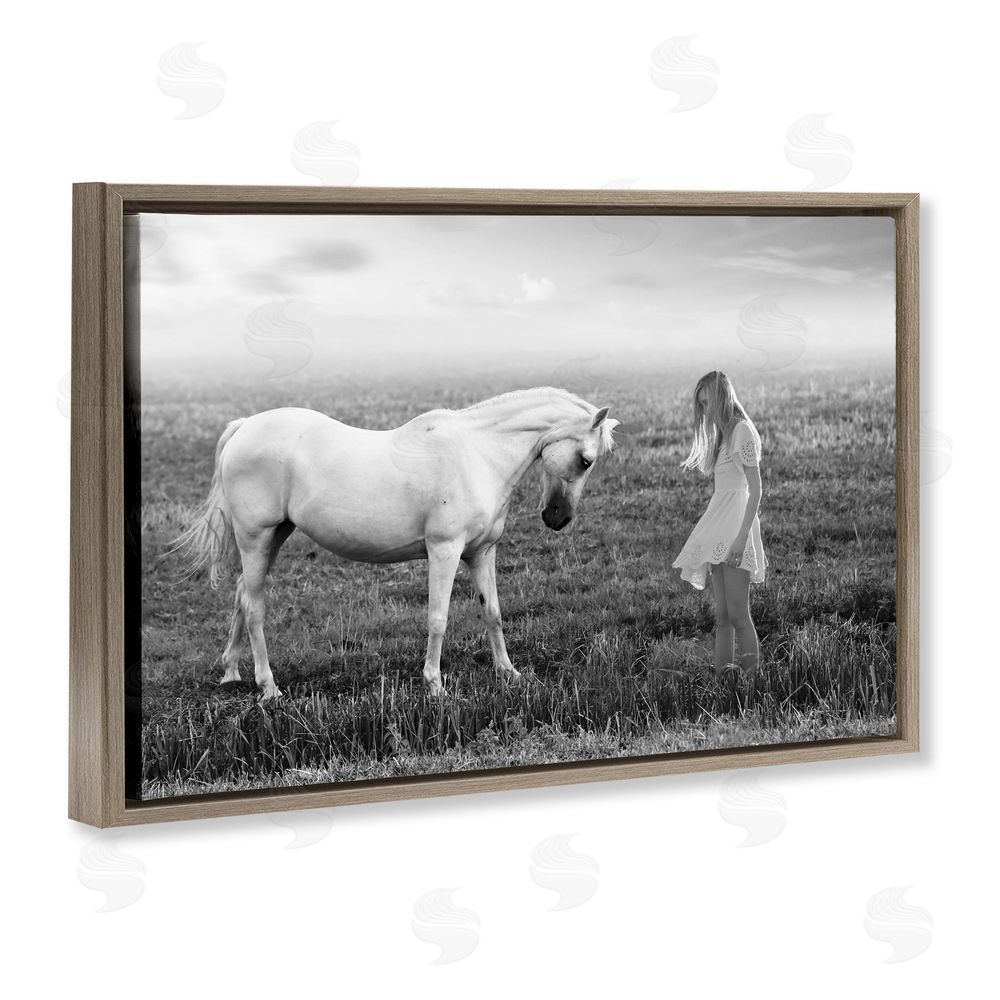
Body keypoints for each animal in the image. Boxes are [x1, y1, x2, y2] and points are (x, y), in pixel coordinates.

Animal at [173, 387, 620, 701]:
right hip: (256, 537)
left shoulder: (481, 553)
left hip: (274, 536)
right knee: (254, 608)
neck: (477, 455)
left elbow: (492, 612)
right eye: (585, 460)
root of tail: (244, 427)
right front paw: (435, 684)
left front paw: (509, 673)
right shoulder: (444, 551)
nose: (557, 518)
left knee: (241, 595)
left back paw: (231, 672)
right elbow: (438, 618)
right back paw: (268, 687)